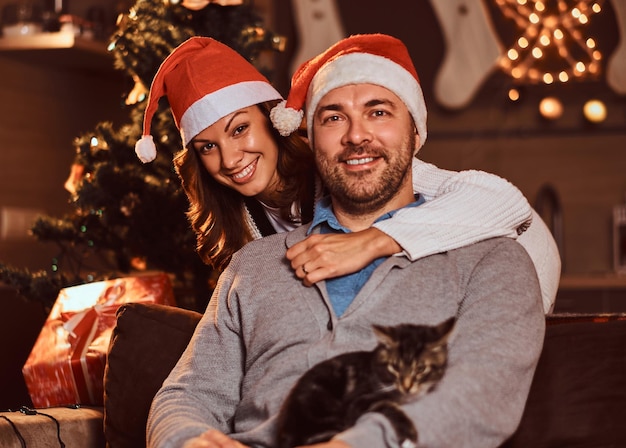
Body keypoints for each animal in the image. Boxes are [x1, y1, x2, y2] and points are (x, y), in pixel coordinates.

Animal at [274, 316, 454, 446]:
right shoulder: (358, 401)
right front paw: (408, 432)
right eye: (395, 367)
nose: (407, 386)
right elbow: (387, 404)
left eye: (421, 369)